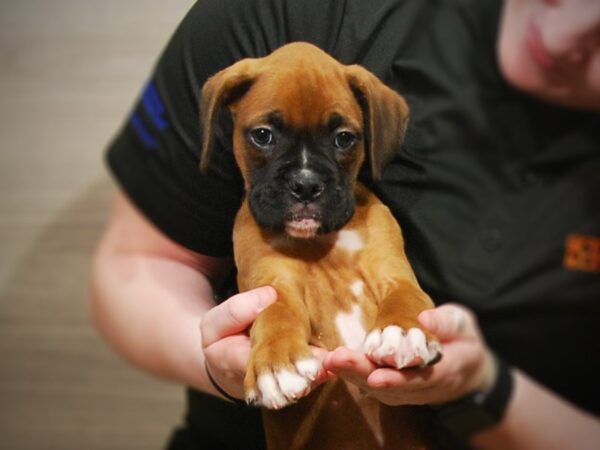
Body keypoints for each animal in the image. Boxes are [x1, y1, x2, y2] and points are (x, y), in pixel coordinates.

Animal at [200, 42, 440, 450]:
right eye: (262, 135)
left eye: (344, 138)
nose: (306, 184)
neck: (321, 242)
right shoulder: (273, 283)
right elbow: (277, 314)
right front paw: (277, 361)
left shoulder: (393, 273)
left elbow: (405, 298)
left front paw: (404, 331)